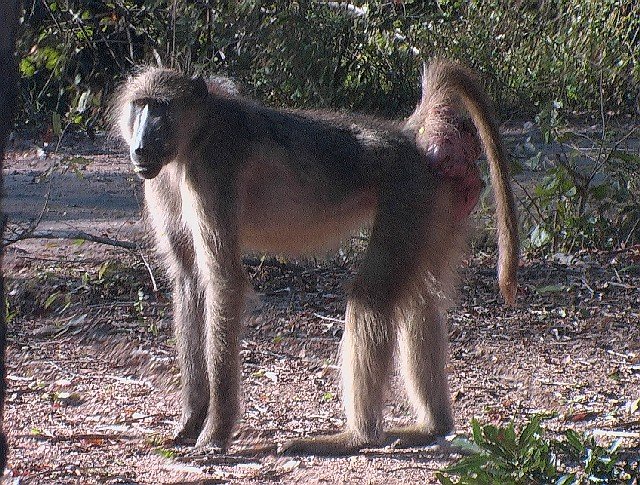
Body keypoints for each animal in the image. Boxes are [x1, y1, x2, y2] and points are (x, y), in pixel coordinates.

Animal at [112, 60, 518, 456]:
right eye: (140, 105)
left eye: (161, 108)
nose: (141, 147)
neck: (195, 133)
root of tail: (410, 138)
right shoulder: (162, 182)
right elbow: (188, 280)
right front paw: (191, 420)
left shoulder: (212, 169)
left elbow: (223, 281)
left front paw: (215, 434)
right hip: (439, 204)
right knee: (420, 301)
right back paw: (432, 428)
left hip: (410, 193)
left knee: (371, 296)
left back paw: (356, 437)